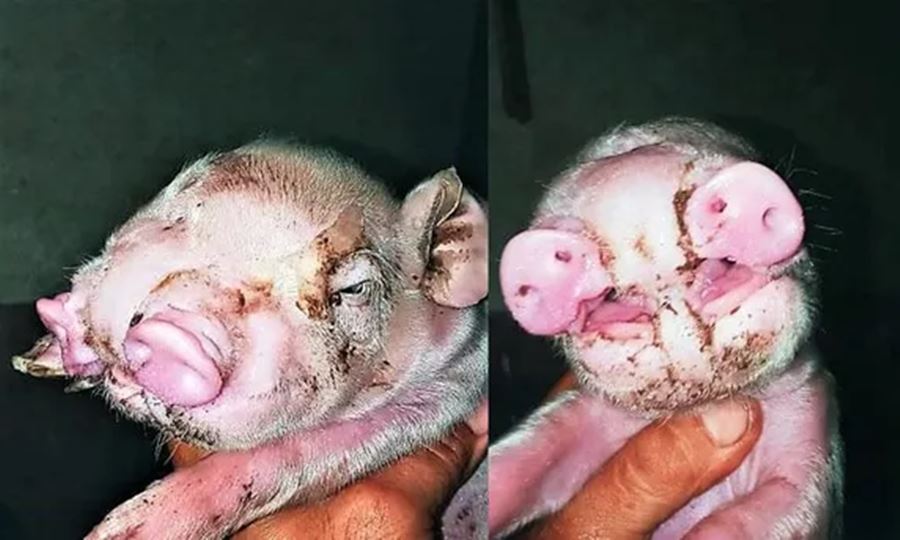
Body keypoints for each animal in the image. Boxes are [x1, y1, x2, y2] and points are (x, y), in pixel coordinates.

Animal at [11, 141, 488, 539]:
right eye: (181, 207)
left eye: (353, 290)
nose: (177, 330)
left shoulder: (456, 386)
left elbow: (299, 453)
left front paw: (118, 534)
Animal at [490, 118, 842, 539]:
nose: (627, 175)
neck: (708, 403)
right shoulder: (582, 414)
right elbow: (523, 456)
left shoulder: (812, 448)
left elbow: (764, 517)